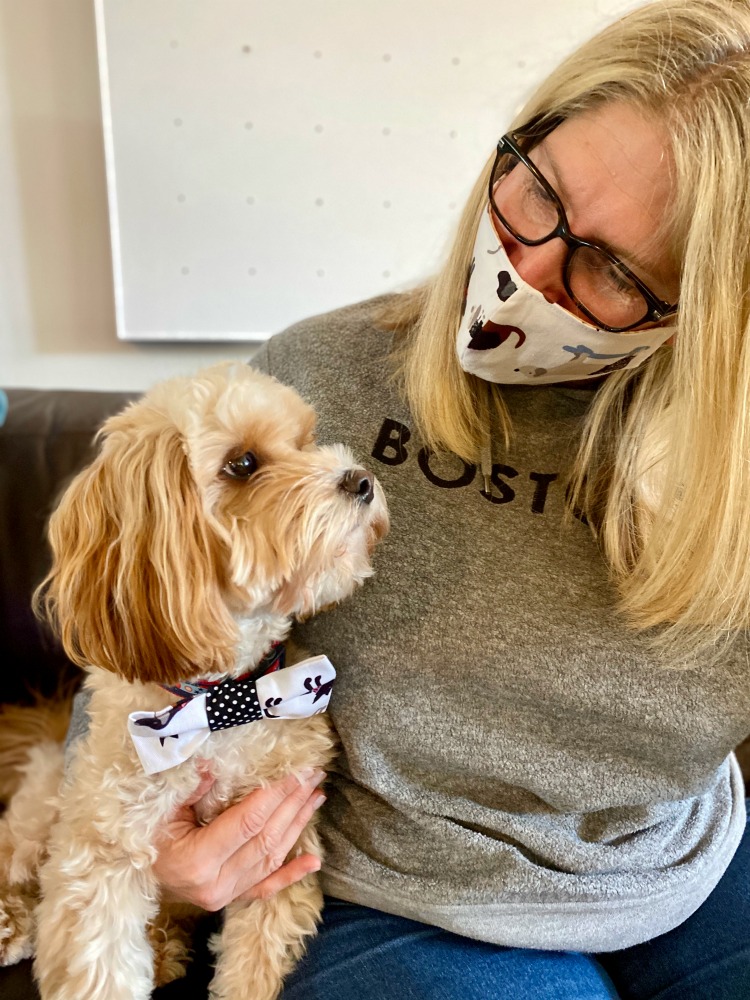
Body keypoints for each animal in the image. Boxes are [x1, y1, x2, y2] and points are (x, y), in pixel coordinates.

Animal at [22, 366, 388, 1000]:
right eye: (242, 463)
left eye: (306, 440)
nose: (361, 480)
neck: (222, 701)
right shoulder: (97, 854)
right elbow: (101, 963)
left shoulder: (279, 858)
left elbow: (250, 967)